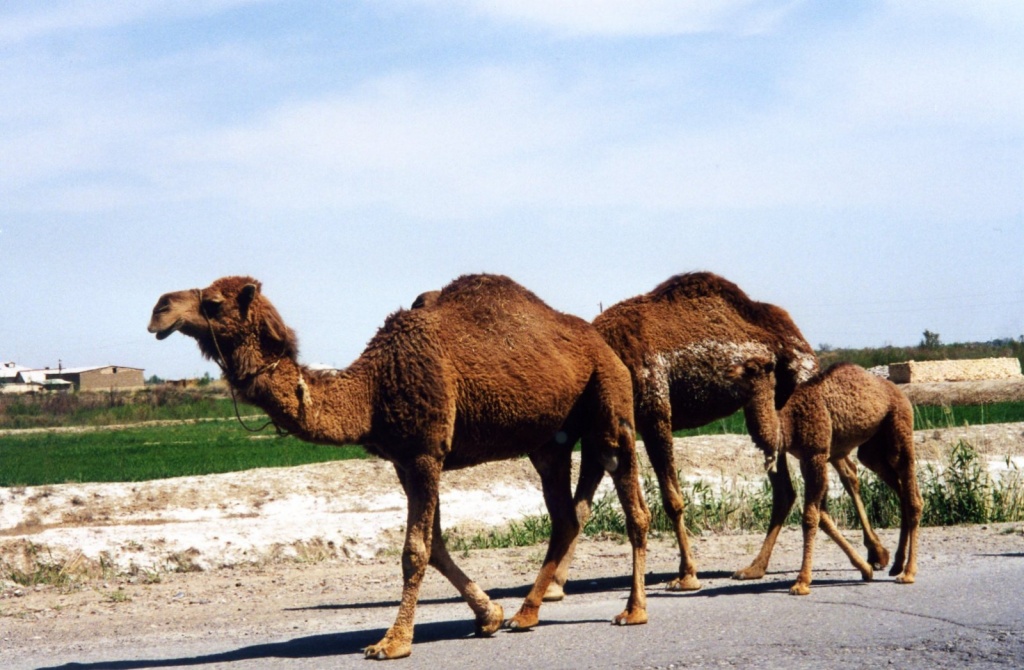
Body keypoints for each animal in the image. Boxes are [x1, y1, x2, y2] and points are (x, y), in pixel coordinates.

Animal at [146, 274, 647, 659]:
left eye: (212, 303)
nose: (159, 309)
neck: (371, 389)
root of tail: (599, 339)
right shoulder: (405, 462)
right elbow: (436, 545)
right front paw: (489, 615)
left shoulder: (426, 452)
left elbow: (415, 551)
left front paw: (392, 642)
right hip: (548, 441)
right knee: (565, 516)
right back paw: (525, 614)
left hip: (609, 401)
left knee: (632, 505)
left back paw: (633, 610)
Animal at [544, 272, 888, 598]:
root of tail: (799, 337)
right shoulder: (600, 430)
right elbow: (581, 506)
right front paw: (554, 585)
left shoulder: (655, 412)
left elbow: (672, 498)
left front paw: (687, 575)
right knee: (789, 488)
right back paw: (756, 568)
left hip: (802, 383)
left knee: (846, 470)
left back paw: (877, 555)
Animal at [737, 360, 921, 594]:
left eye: (752, 370)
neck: (787, 421)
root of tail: (899, 391)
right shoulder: (807, 458)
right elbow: (821, 514)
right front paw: (866, 568)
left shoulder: (816, 454)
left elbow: (810, 517)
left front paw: (801, 582)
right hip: (873, 450)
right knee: (899, 490)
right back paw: (895, 564)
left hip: (899, 425)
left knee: (913, 496)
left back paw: (908, 573)